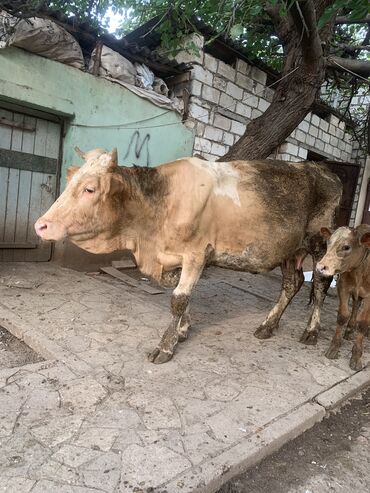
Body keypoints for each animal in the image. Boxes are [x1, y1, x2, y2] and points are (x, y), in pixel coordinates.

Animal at [34, 148, 342, 364]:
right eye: (70, 183)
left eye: (90, 189)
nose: (41, 225)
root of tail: (321, 169)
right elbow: (181, 295)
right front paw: (183, 330)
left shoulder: (196, 253)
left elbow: (178, 299)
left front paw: (165, 346)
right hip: (290, 250)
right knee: (292, 283)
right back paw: (268, 325)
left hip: (319, 242)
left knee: (320, 284)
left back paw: (312, 331)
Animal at [316, 224, 370, 368]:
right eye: (328, 243)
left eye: (346, 247)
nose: (320, 267)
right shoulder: (343, 287)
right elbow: (342, 316)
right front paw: (334, 348)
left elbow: (363, 323)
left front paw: (356, 356)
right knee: (355, 306)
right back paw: (350, 329)